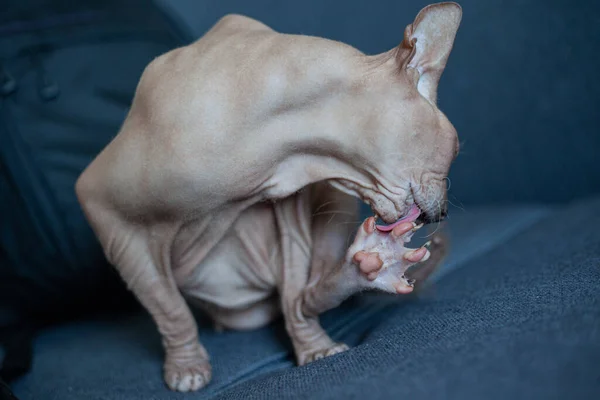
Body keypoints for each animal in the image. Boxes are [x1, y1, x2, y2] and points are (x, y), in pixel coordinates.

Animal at [75, 1, 464, 392]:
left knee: (302, 299)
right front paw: (186, 367)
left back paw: (370, 267)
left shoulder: (293, 196)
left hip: (329, 207)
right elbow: (168, 305)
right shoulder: (103, 207)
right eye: (458, 148)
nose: (443, 213)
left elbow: (295, 292)